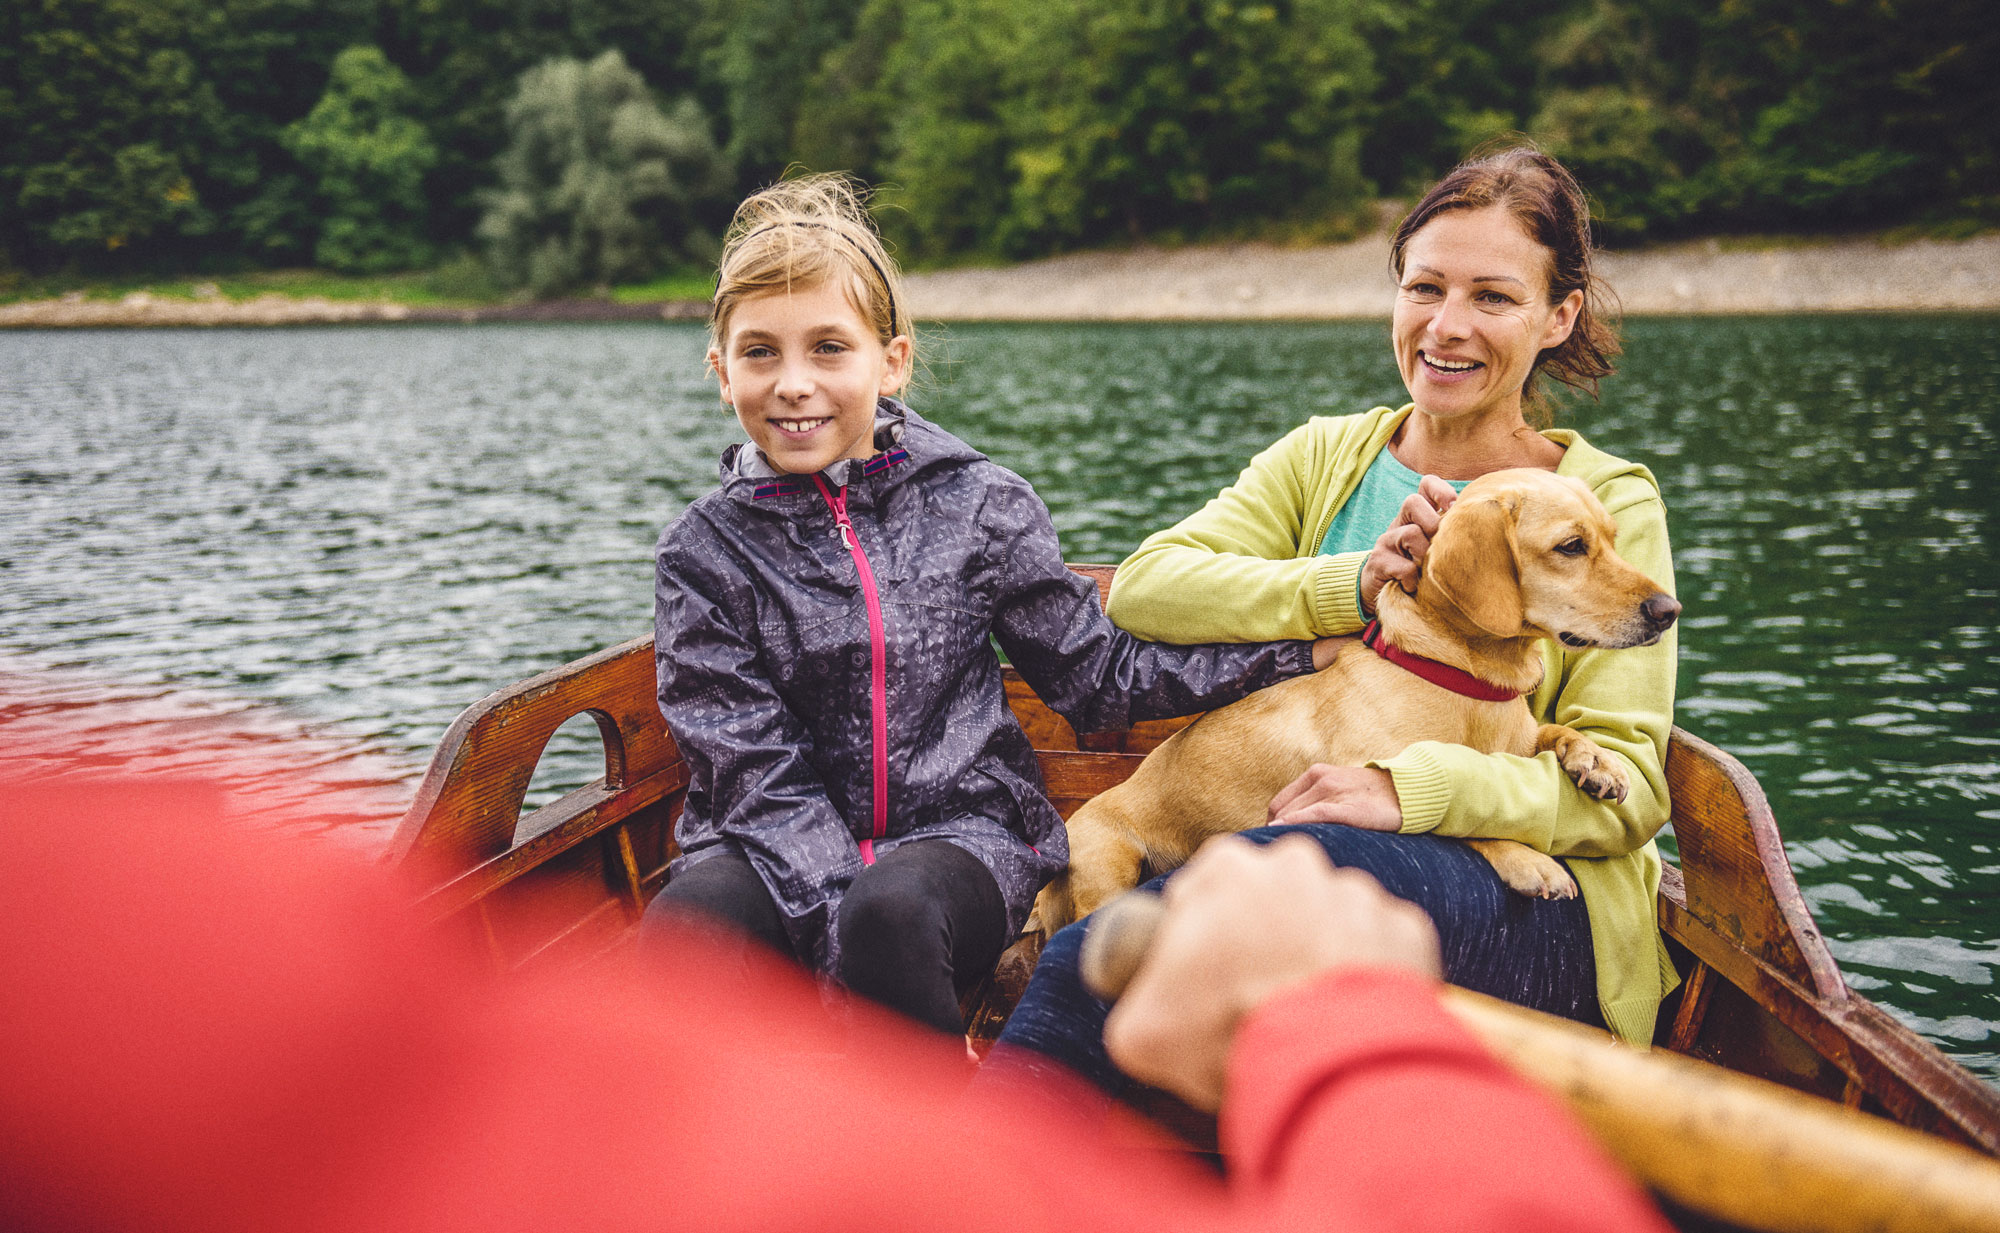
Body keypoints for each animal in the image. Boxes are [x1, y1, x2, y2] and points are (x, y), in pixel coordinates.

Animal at [1040, 470, 1680, 932]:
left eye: (1614, 541)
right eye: (1571, 546)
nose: (1669, 611)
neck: (1465, 683)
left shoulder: (1520, 740)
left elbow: (1553, 735)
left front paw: (1598, 761)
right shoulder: (1354, 776)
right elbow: (1436, 810)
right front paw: (1527, 859)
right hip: (1110, 862)